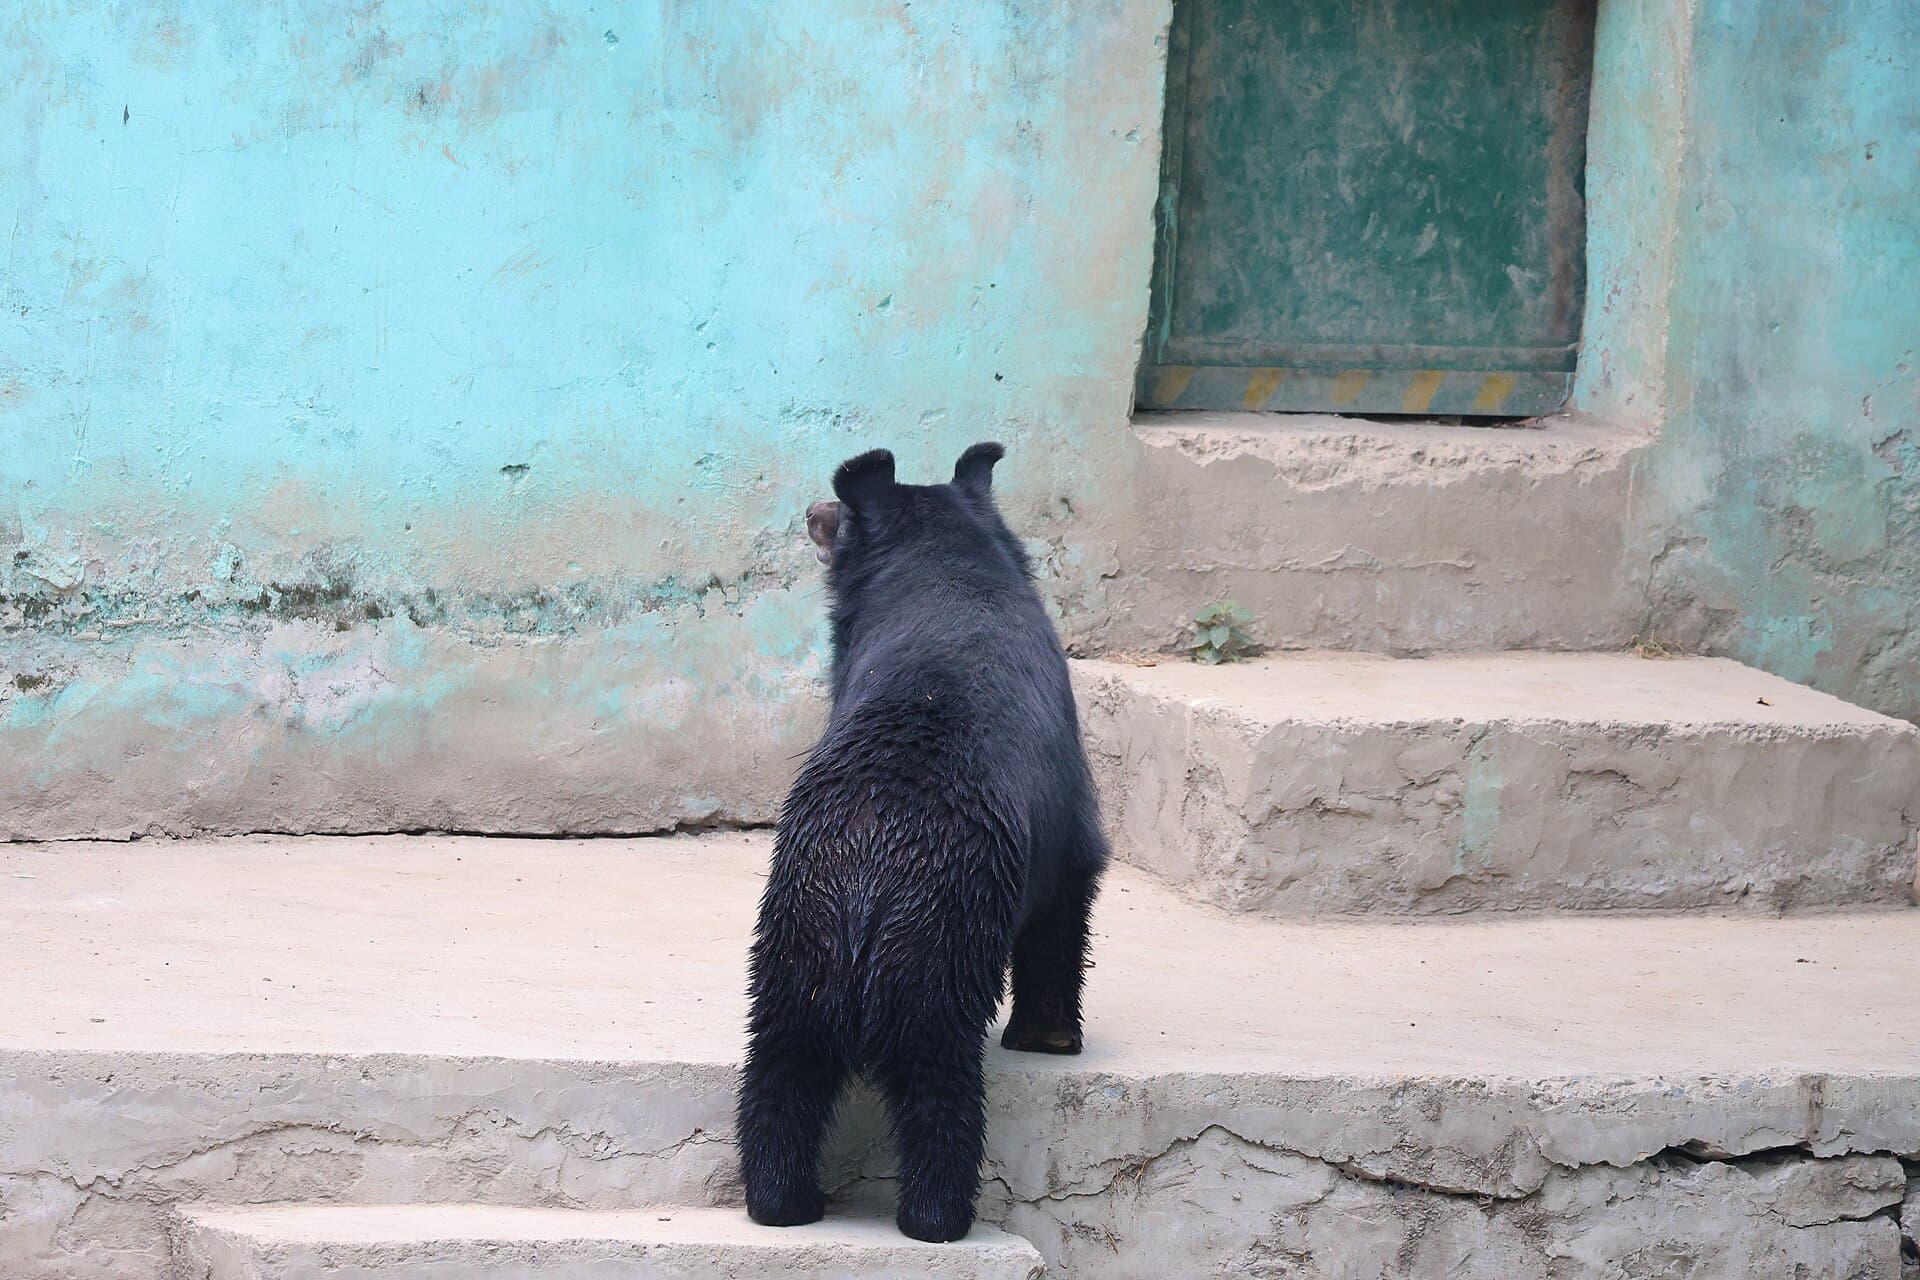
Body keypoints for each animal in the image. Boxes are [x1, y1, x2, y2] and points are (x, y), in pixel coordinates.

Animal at [737, 442, 1108, 1244]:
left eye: (838, 516)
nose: (810, 510)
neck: (944, 561)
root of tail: (864, 880)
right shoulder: (1064, 799)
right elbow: (1070, 889)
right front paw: (1052, 1036)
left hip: (791, 944)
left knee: (782, 1068)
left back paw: (782, 1201)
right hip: (941, 946)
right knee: (939, 1089)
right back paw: (937, 1215)